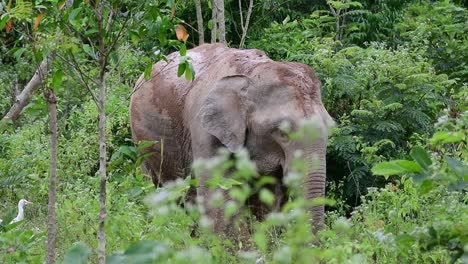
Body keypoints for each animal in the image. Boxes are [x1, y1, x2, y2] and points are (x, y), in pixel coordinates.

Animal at [129, 43, 332, 235]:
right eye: (282, 132)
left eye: (330, 129)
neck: (251, 74)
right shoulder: (205, 131)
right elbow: (218, 196)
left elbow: (268, 201)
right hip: (142, 143)